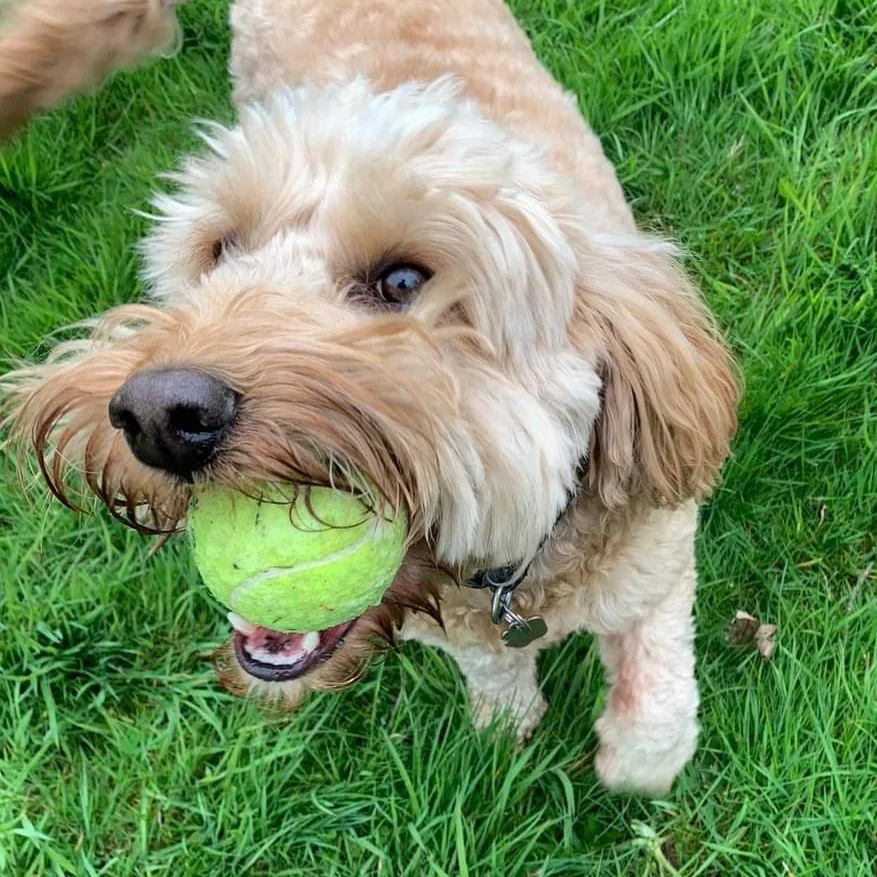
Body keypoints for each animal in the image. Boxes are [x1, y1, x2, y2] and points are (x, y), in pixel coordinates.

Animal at [0, 0, 740, 792]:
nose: (158, 416)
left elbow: (656, 704)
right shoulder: (457, 628)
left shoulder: (658, 562)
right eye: (220, 252)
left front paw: (634, 762)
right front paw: (505, 725)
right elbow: (493, 672)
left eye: (404, 282)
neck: (516, 576)